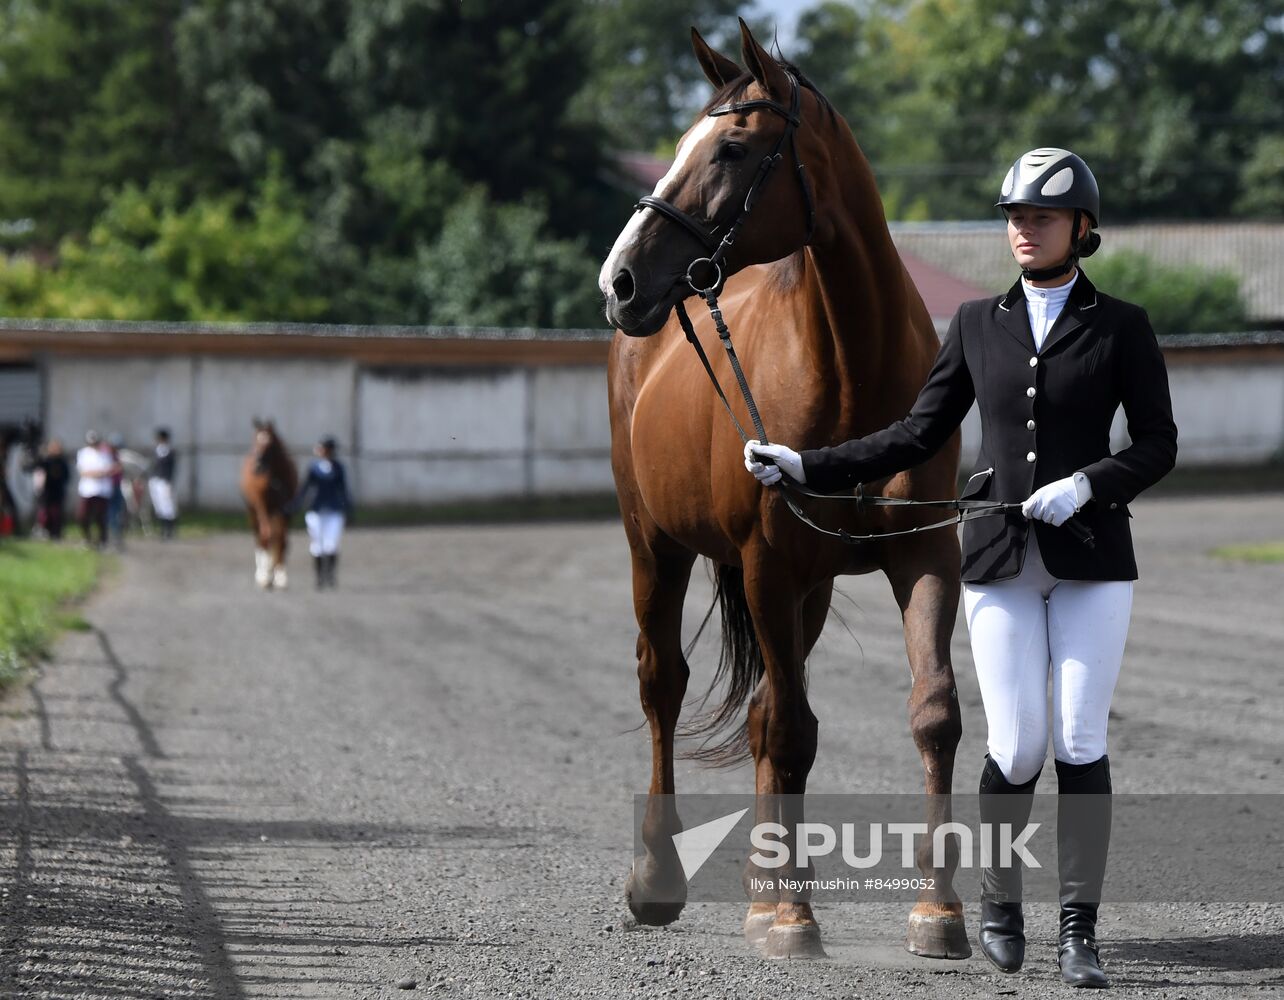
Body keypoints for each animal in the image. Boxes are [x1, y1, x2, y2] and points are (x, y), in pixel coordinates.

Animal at [240, 418, 296, 590]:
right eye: (255, 441)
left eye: (269, 444)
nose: (257, 467)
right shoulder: (261, 507)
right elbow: (266, 535)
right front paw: (265, 576)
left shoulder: (285, 509)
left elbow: (281, 538)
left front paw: (280, 576)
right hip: (253, 511)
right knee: (259, 536)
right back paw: (262, 572)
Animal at [606, 21, 965, 960]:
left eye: (732, 148)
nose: (620, 280)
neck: (857, 372)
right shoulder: (766, 563)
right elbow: (793, 731)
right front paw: (797, 920)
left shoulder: (924, 556)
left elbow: (932, 713)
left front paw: (939, 913)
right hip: (654, 547)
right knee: (665, 685)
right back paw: (659, 881)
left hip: (805, 591)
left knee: (770, 703)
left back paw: (763, 891)